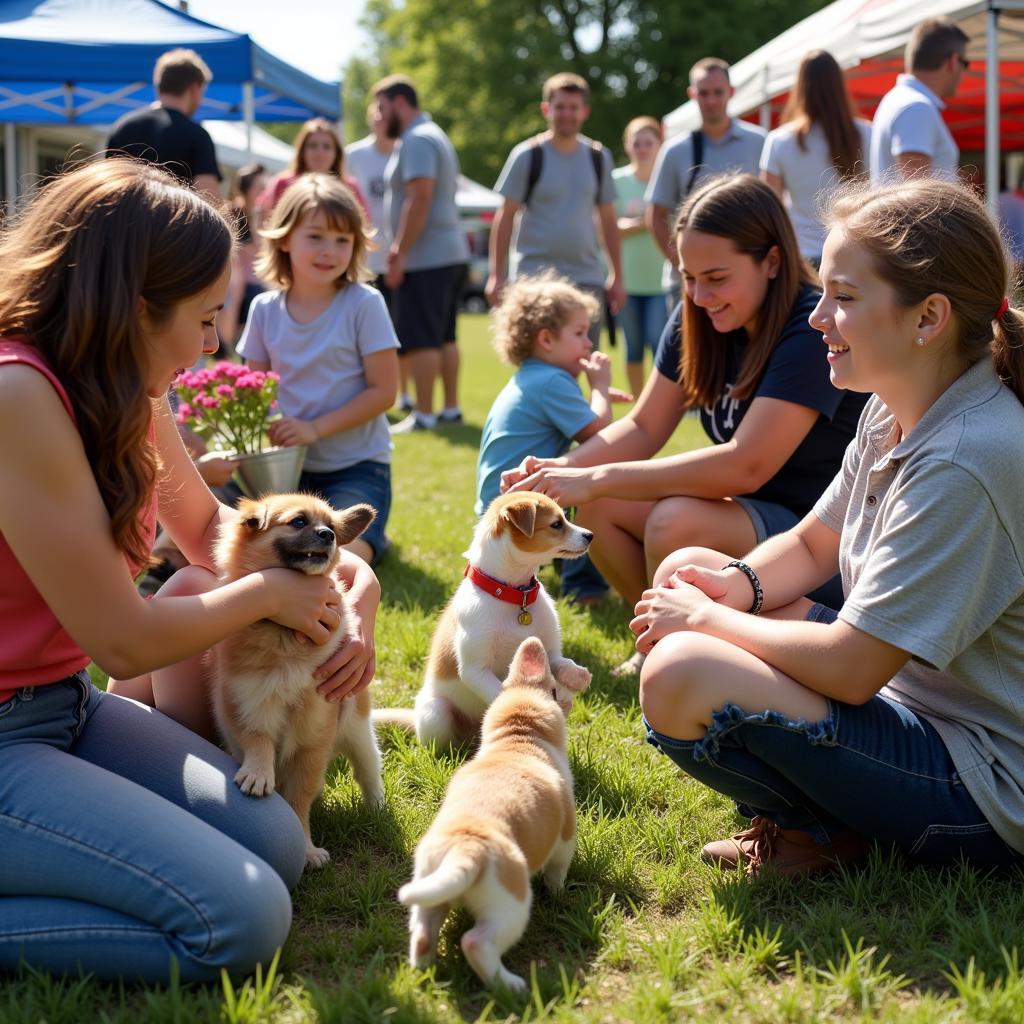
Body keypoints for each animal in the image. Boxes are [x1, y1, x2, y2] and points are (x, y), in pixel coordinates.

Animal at [210, 491, 385, 868]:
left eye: (331, 526)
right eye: (299, 522)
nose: (329, 536)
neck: (285, 636)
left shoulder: (313, 737)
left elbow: (298, 802)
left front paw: (305, 848)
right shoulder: (246, 702)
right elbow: (257, 739)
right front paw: (258, 773)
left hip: (358, 730)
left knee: (368, 768)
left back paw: (377, 807)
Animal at [376, 491, 593, 749]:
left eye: (565, 517)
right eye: (556, 524)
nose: (590, 535)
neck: (514, 596)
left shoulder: (549, 651)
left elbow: (562, 662)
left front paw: (577, 677)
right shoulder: (475, 670)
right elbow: (501, 692)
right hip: (436, 715)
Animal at [401, 634, 593, 995]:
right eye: (555, 691)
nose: (569, 702)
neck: (519, 739)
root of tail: (467, 848)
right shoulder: (565, 837)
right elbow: (558, 870)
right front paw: (559, 892)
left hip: (430, 883)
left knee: (422, 933)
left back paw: (424, 966)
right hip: (510, 905)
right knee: (477, 942)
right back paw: (511, 985)